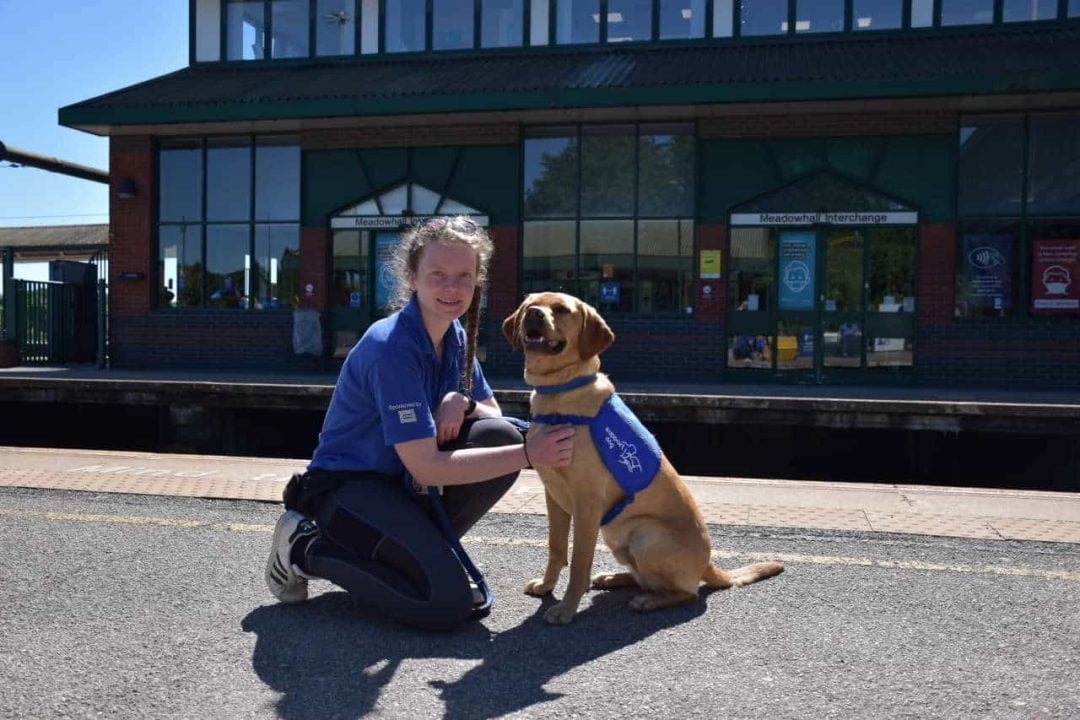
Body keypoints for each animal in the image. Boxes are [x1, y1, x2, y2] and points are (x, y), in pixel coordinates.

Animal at [501, 293, 781, 626]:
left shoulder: (587, 503)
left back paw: (648, 601)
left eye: (562, 310)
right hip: (616, 535)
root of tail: (708, 565)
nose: (533, 313)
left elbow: (580, 561)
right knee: (643, 578)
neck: (558, 391)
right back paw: (613, 578)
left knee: (685, 593)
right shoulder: (553, 496)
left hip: (644, 534)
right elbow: (556, 547)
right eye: (528, 304)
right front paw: (546, 586)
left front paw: (567, 608)